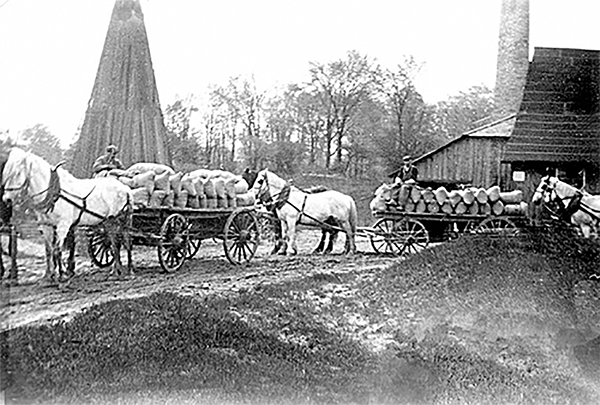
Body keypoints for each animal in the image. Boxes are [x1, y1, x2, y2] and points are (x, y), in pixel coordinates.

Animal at [1, 147, 134, 282]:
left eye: (17, 174)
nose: (6, 199)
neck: (55, 192)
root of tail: (125, 188)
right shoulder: (46, 225)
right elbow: (49, 250)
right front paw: (48, 275)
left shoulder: (63, 225)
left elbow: (57, 250)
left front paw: (61, 274)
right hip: (109, 221)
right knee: (114, 243)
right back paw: (115, 271)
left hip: (122, 219)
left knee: (126, 242)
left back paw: (129, 271)